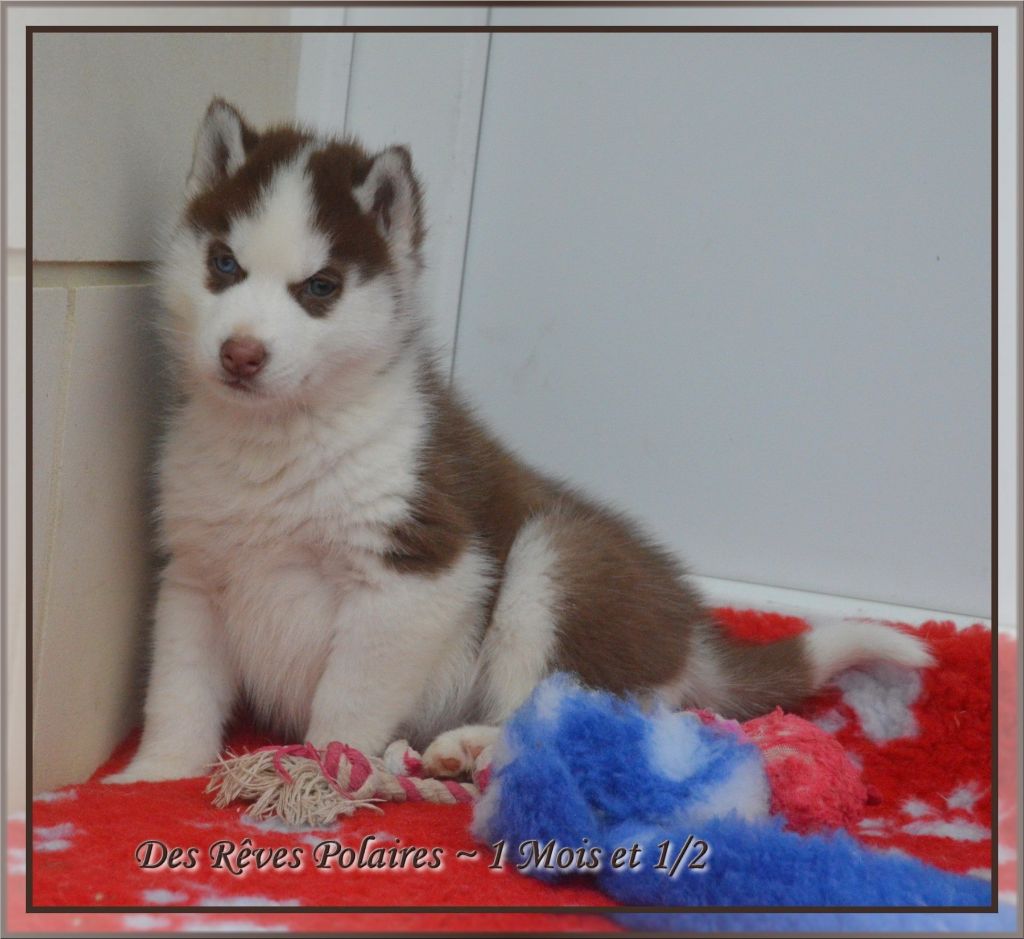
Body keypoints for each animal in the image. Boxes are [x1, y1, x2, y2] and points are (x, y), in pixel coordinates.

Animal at [107, 99, 932, 784]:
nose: (241, 355)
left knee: (570, 717)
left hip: (556, 560)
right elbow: (179, 690)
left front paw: (316, 780)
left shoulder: (417, 576)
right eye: (223, 264)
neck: (279, 439)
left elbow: (346, 700)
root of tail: (691, 639)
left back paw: (477, 748)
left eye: (320, 288)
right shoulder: (195, 577)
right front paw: (155, 775)